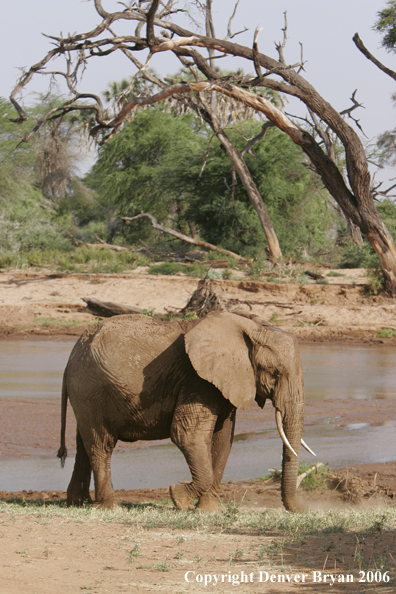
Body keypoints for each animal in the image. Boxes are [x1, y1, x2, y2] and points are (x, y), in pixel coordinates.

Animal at [58, 310, 312, 508]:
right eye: (276, 373)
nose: (303, 509)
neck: (253, 329)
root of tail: (70, 358)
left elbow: (223, 439)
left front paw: (208, 511)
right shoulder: (197, 380)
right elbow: (187, 435)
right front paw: (178, 497)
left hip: (86, 392)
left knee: (84, 444)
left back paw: (78, 503)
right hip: (91, 388)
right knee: (101, 443)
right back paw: (109, 506)